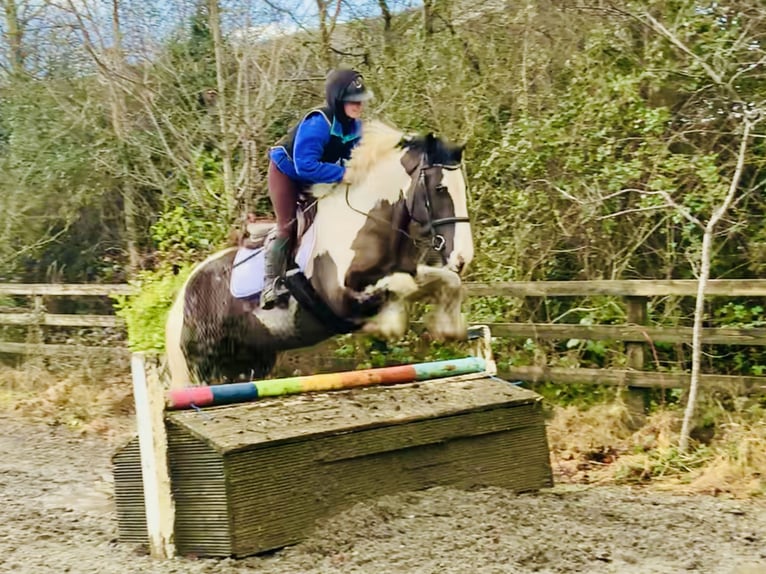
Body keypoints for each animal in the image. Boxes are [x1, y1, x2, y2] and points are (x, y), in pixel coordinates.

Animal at [166, 121, 474, 392]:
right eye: (440, 188)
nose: (463, 256)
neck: (368, 222)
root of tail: (180, 301)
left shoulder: (407, 271)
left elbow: (446, 281)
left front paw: (449, 329)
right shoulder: (340, 299)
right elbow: (398, 289)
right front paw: (389, 325)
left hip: (249, 363)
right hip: (203, 367)